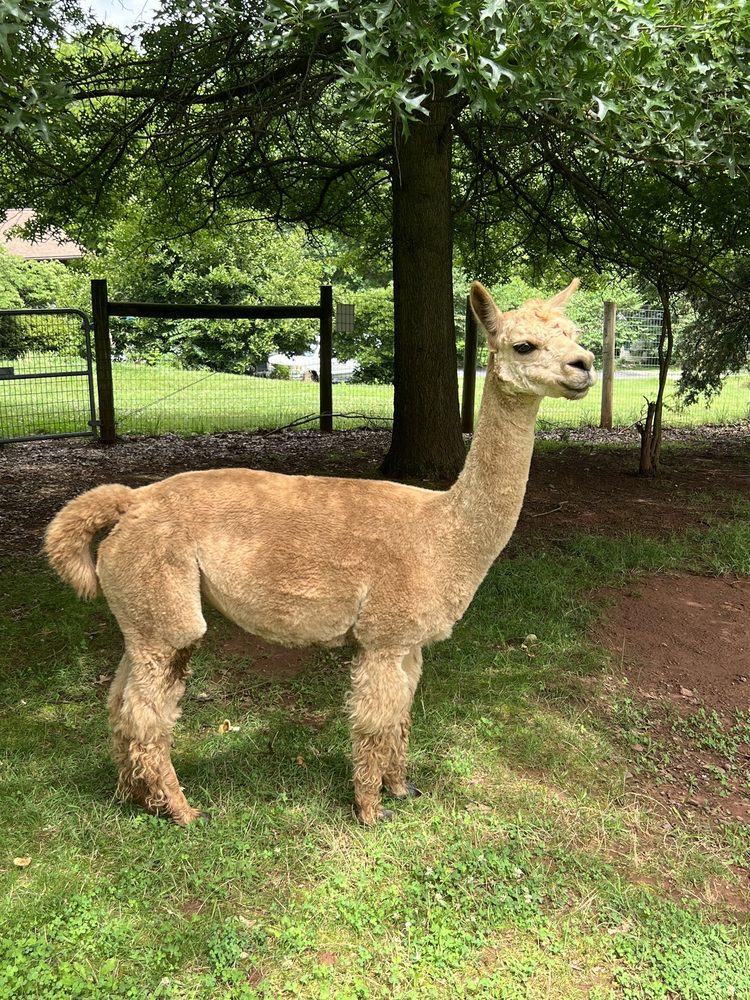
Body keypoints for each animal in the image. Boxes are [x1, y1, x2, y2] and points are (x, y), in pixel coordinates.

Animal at [44, 280, 595, 827]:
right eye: (524, 346)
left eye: (573, 334)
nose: (585, 364)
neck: (444, 532)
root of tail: (132, 501)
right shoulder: (383, 637)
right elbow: (373, 724)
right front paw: (371, 810)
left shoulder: (410, 643)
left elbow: (401, 719)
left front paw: (402, 788)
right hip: (166, 612)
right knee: (146, 715)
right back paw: (182, 810)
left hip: (140, 616)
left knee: (118, 703)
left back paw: (133, 796)